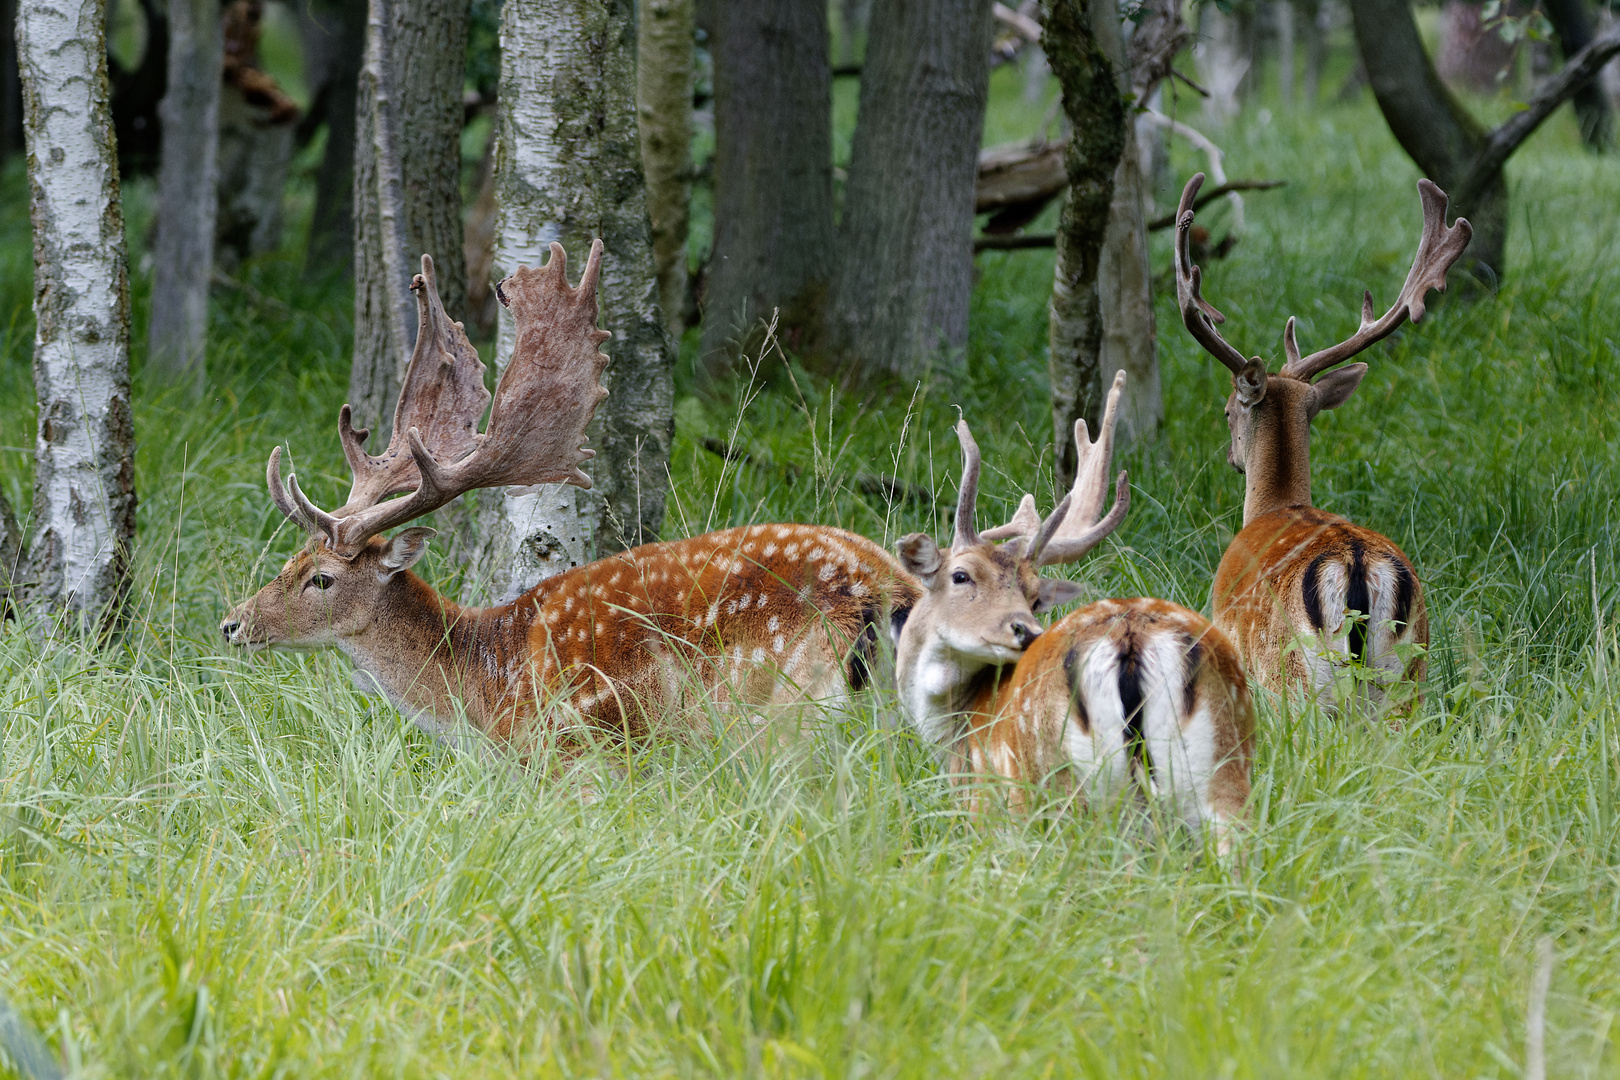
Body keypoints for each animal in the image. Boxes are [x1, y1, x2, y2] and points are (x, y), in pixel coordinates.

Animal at [221, 241, 920, 757]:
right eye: (288, 561)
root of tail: (890, 593)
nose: (233, 623)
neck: (486, 688)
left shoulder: (569, 752)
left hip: (783, 707)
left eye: (321, 578)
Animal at [887, 374, 1250, 854]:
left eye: (1033, 596)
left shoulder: (986, 806)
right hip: (1223, 768)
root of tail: (1132, 641)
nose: (1026, 630)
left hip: (1066, 792)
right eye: (961, 576)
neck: (951, 730)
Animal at [1172, 170, 1477, 709]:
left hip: (1299, 682)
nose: (1232, 457)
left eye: (1227, 411)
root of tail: (1358, 568)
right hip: (1408, 674)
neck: (1276, 506)